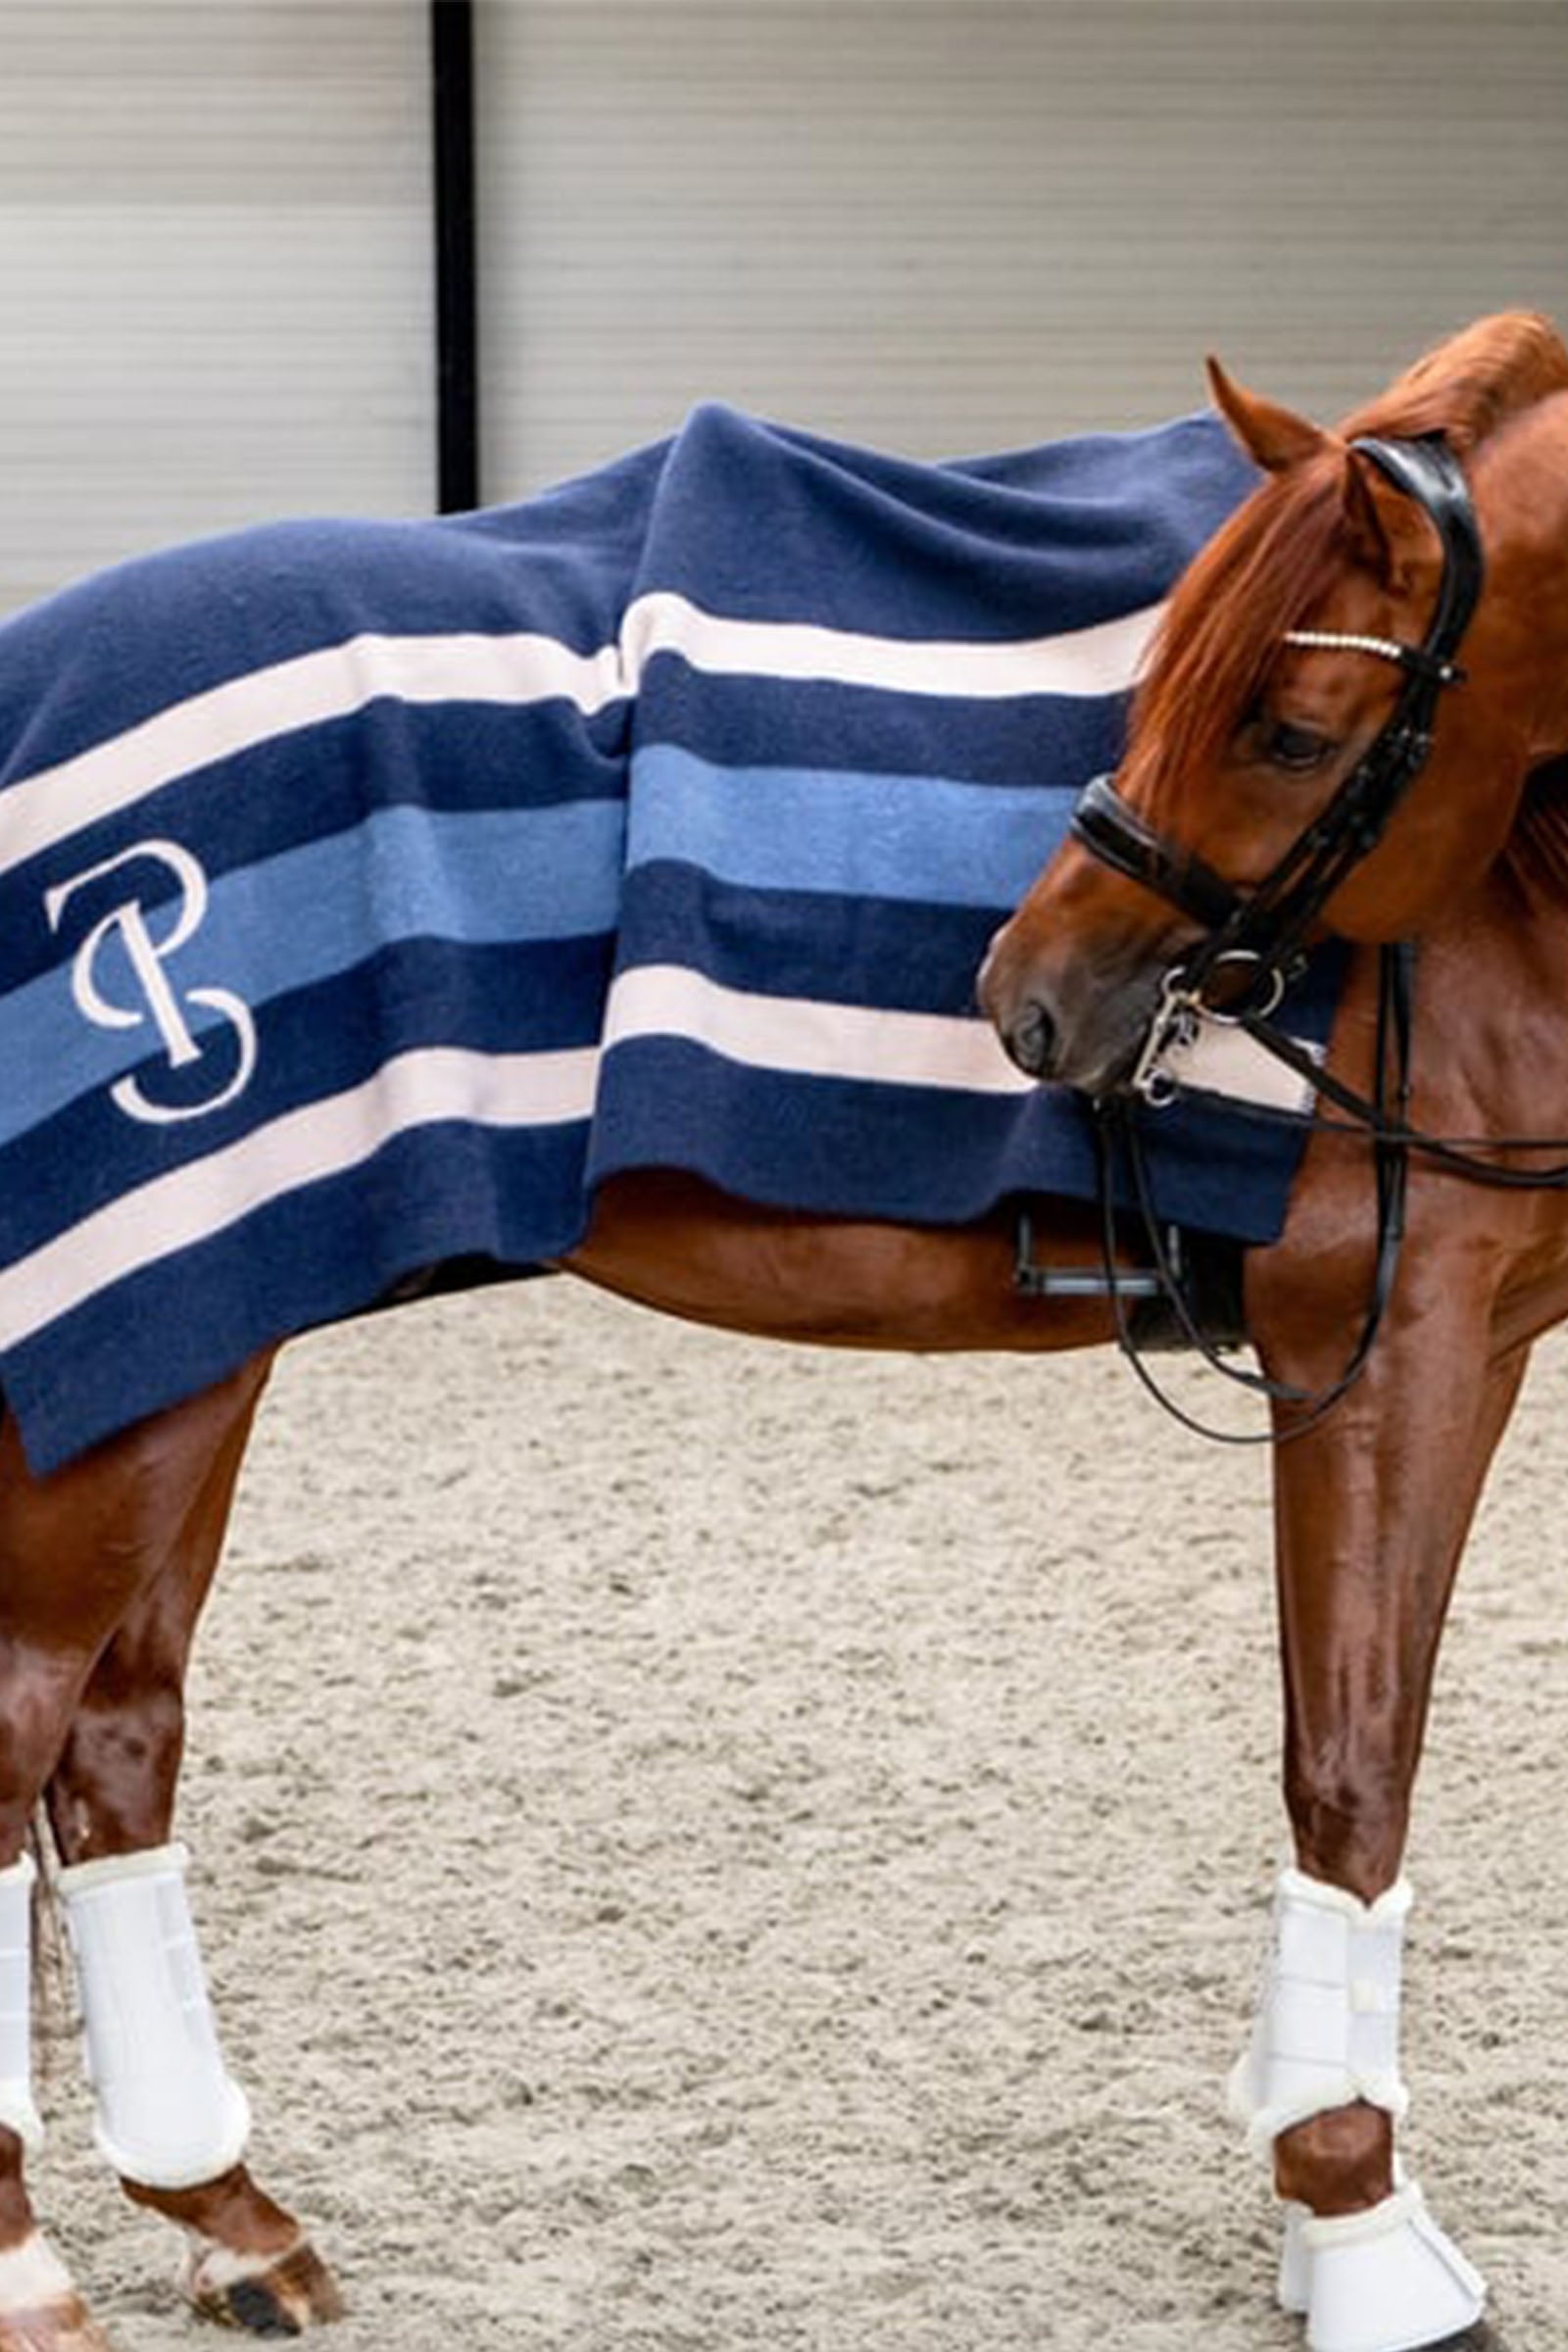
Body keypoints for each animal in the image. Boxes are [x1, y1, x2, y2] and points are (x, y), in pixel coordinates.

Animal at [0, 318, 1551, 2350]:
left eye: (1287, 727)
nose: (1030, 1001)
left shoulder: (1471, 1339)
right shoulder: (1384, 1344)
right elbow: (1354, 1767)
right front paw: (1358, 2222)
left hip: (197, 1328)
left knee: (114, 1746)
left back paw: (228, 2217)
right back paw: (35, 2270)